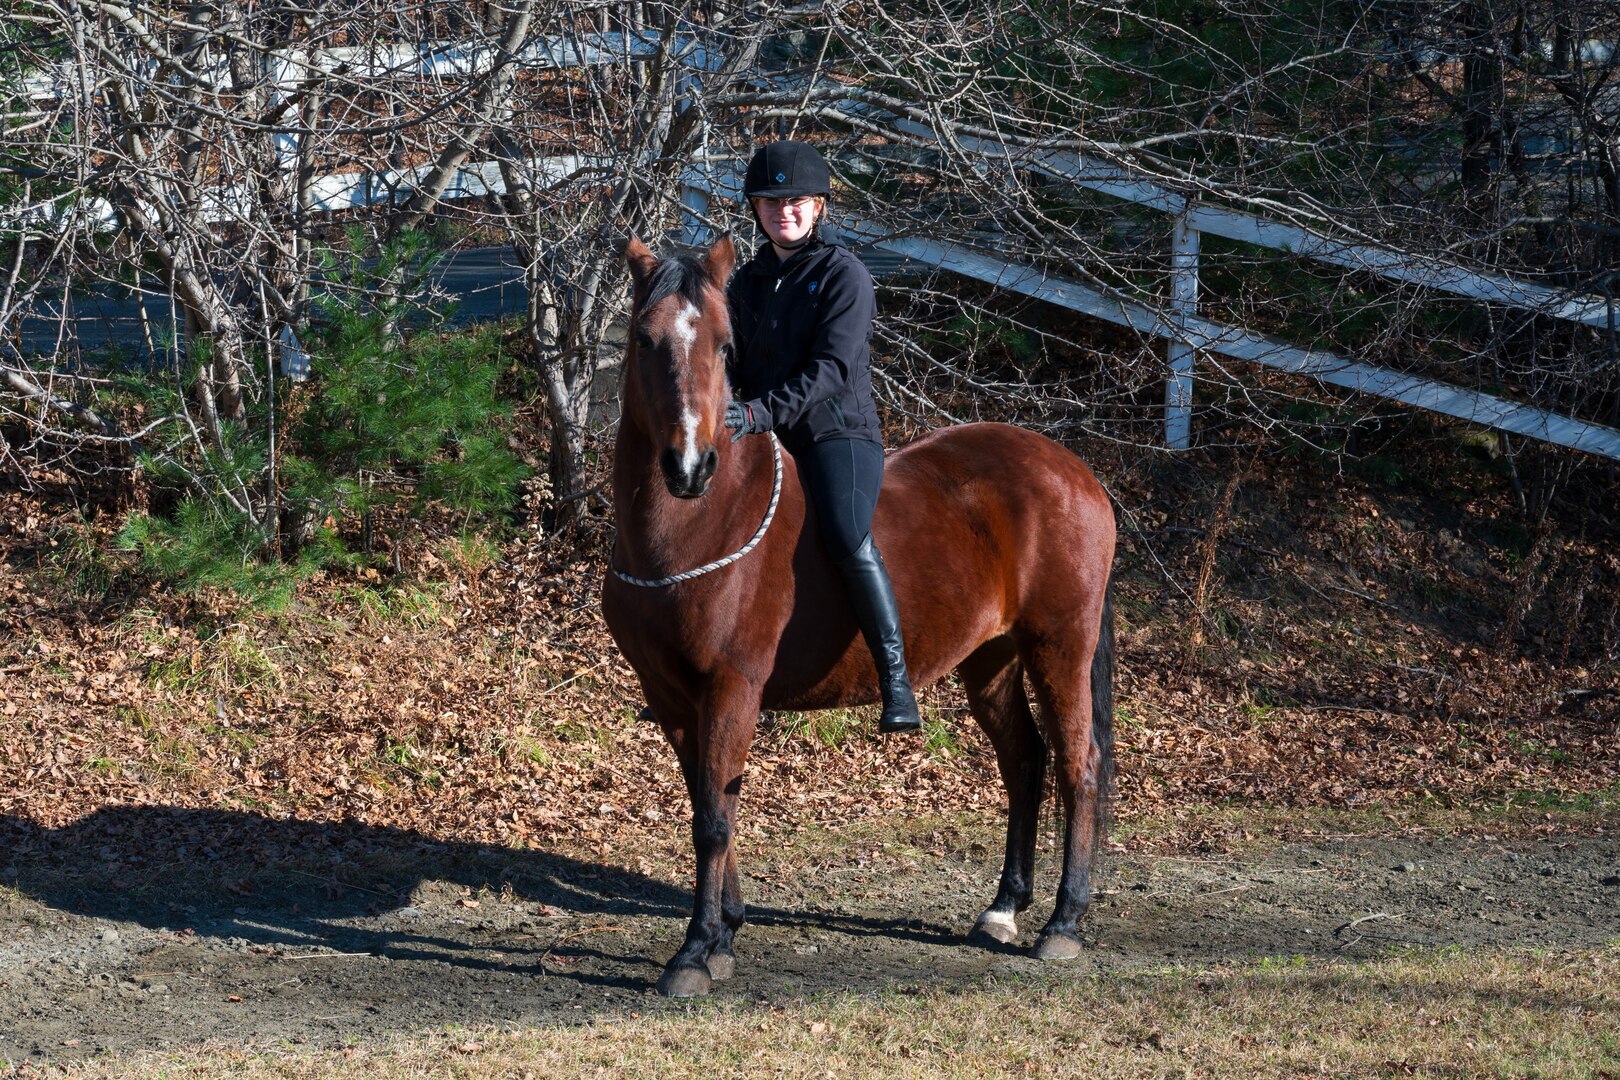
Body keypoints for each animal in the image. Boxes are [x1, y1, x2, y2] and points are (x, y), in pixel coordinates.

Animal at [602, 234, 1121, 997]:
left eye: (725, 346)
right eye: (644, 340)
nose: (689, 466)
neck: (699, 527)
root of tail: (1075, 470)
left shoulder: (732, 688)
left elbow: (714, 821)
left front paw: (694, 953)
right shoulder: (671, 696)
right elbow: (707, 802)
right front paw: (723, 935)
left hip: (1061, 646)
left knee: (1078, 764)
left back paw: (1064, 922)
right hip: (990, 657)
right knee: (1023, 759)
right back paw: (1003, 908)